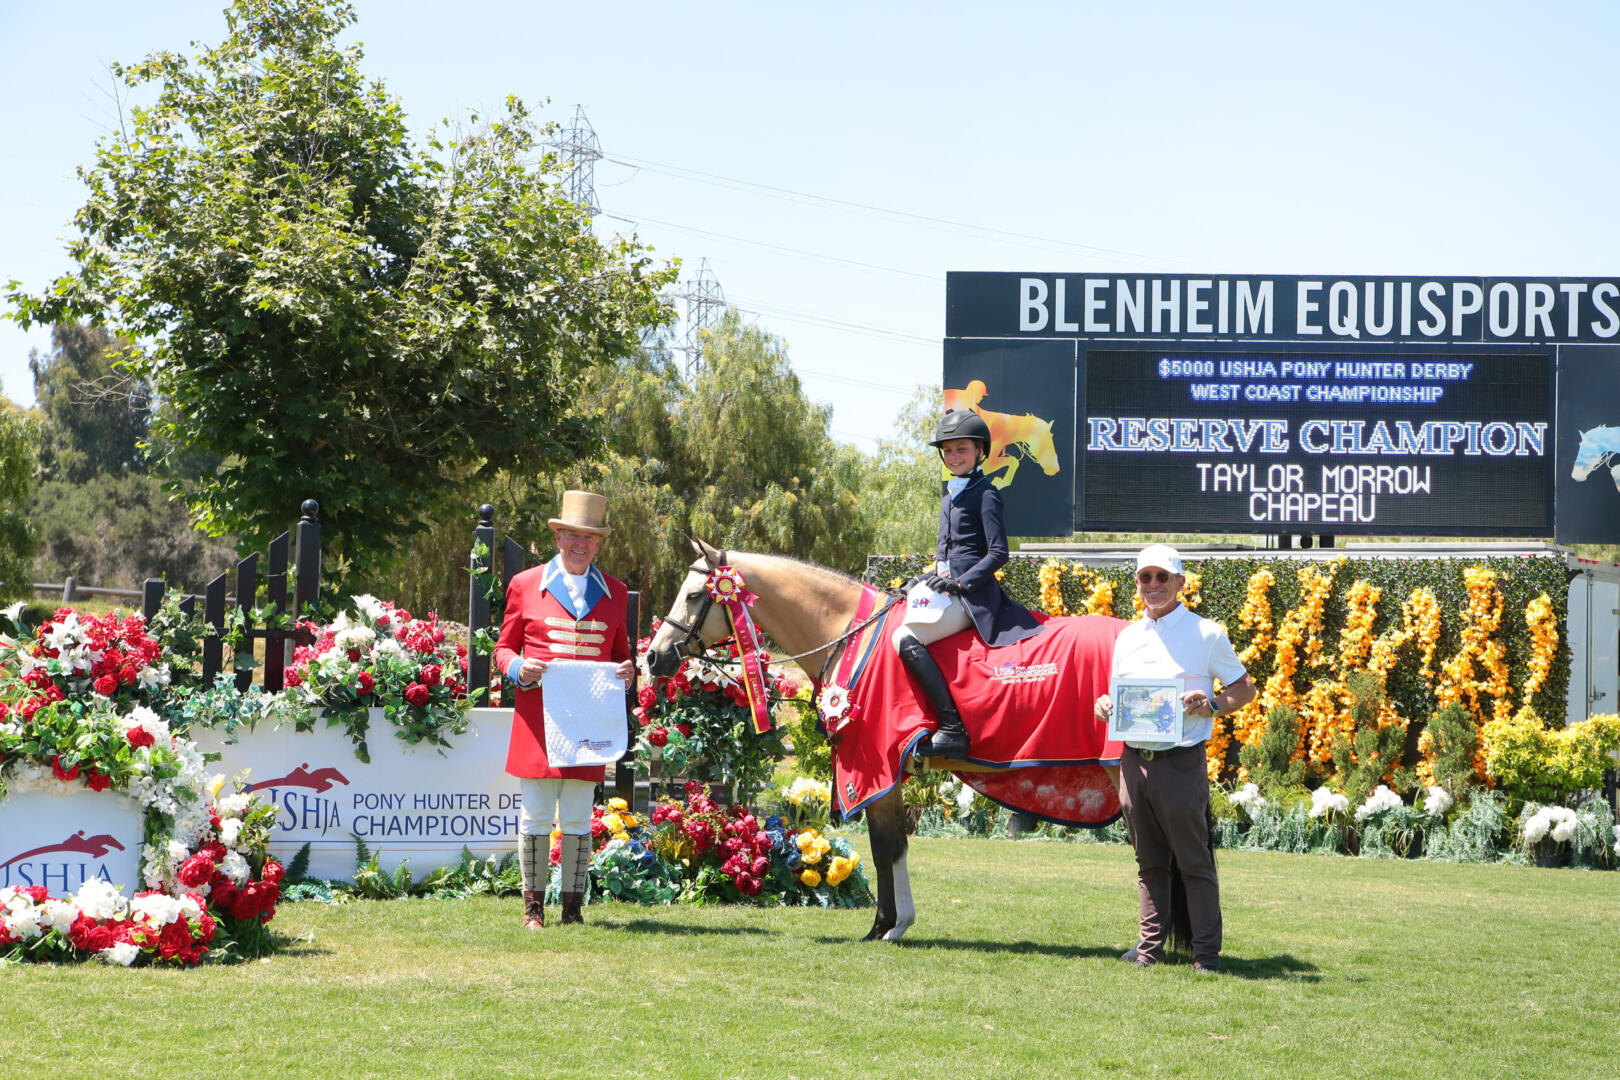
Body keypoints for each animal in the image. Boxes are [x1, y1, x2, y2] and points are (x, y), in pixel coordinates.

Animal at [638, 544, 1121, 939]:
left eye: (695, 596)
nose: (654, 656)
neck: (851, 635)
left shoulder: (875, 767)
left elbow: (885, 848)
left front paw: (884, 925)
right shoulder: (887, 775)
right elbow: (893, 846)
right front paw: (895, 924)